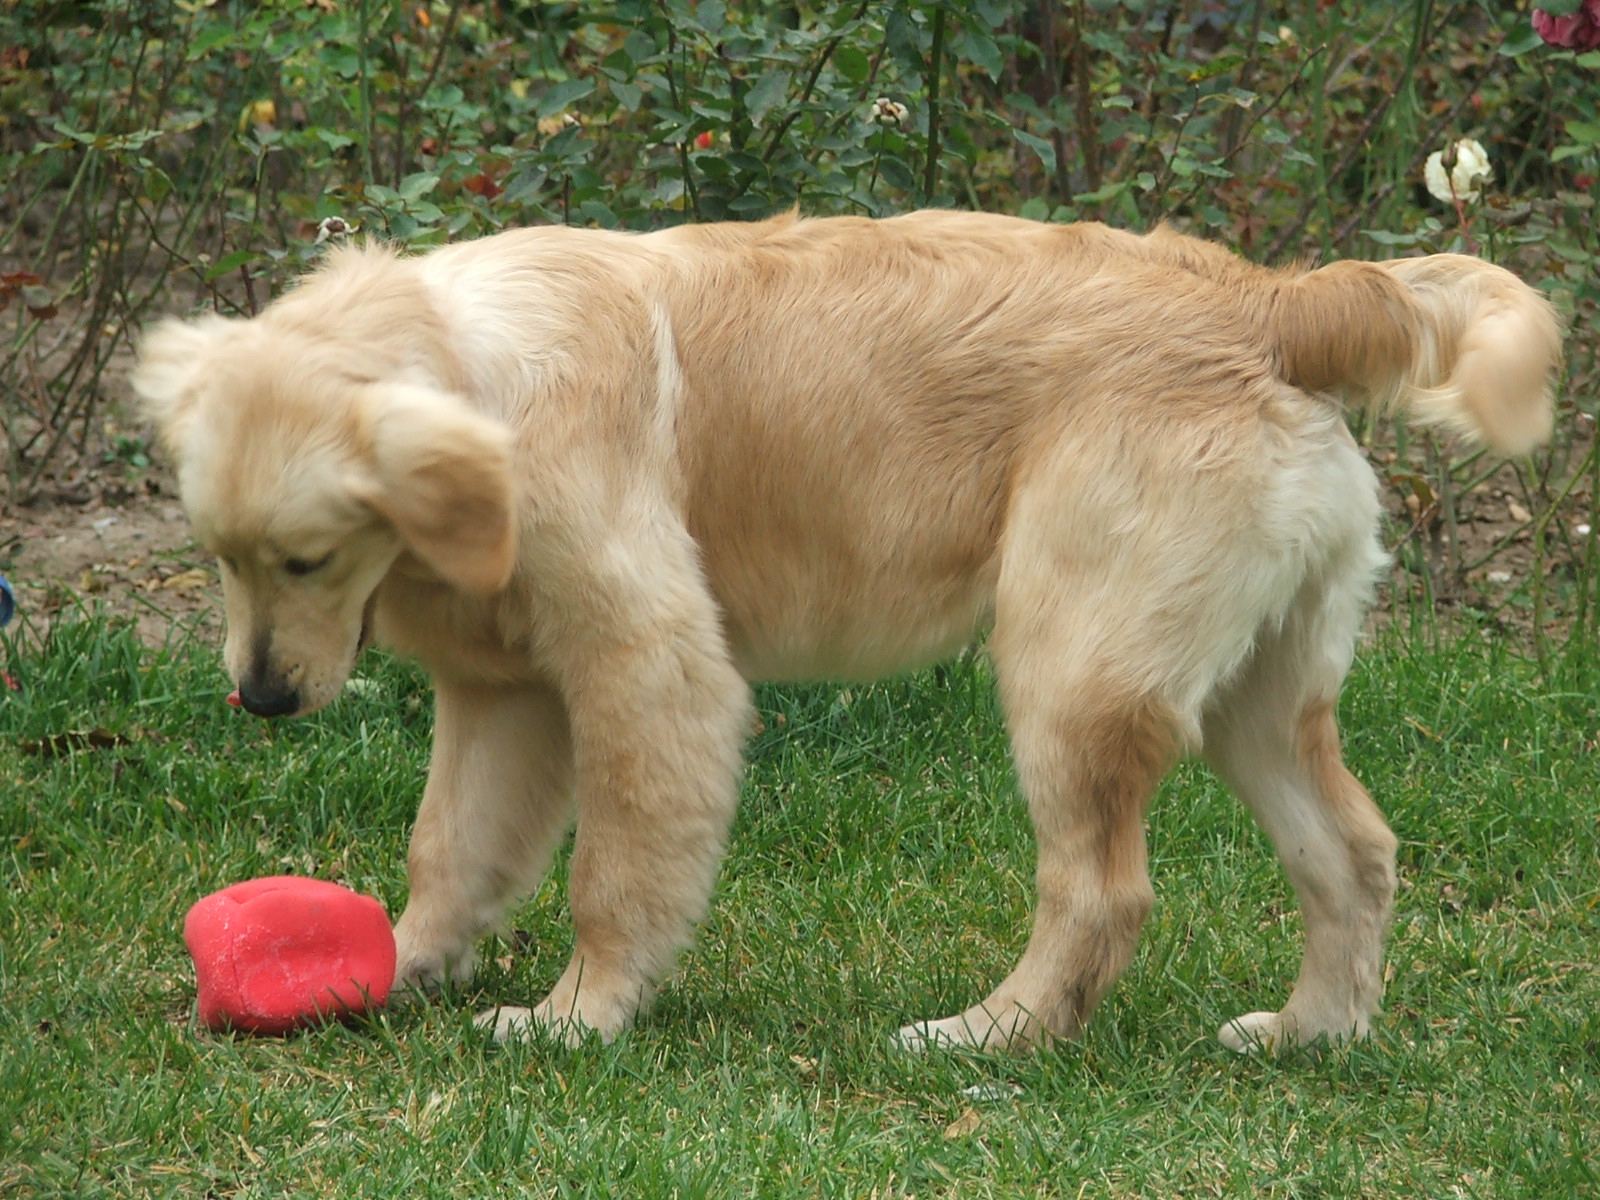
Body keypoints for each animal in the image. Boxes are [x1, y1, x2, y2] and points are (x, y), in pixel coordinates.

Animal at [131, 211, 1555, 1056]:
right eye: (217, 556)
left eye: (307, 557)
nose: (260, 700)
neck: (478, 375)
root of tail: (1275, 302)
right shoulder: (502, 691)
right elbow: (449, 843)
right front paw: (410, 963)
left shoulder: (652, 669)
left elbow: (614, 871)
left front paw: (580, 1015)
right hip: (1255, 689)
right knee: (1352, 852)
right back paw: (1315, 1031)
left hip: (1072, 665)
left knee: (1101, 891)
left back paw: (990, 1036)